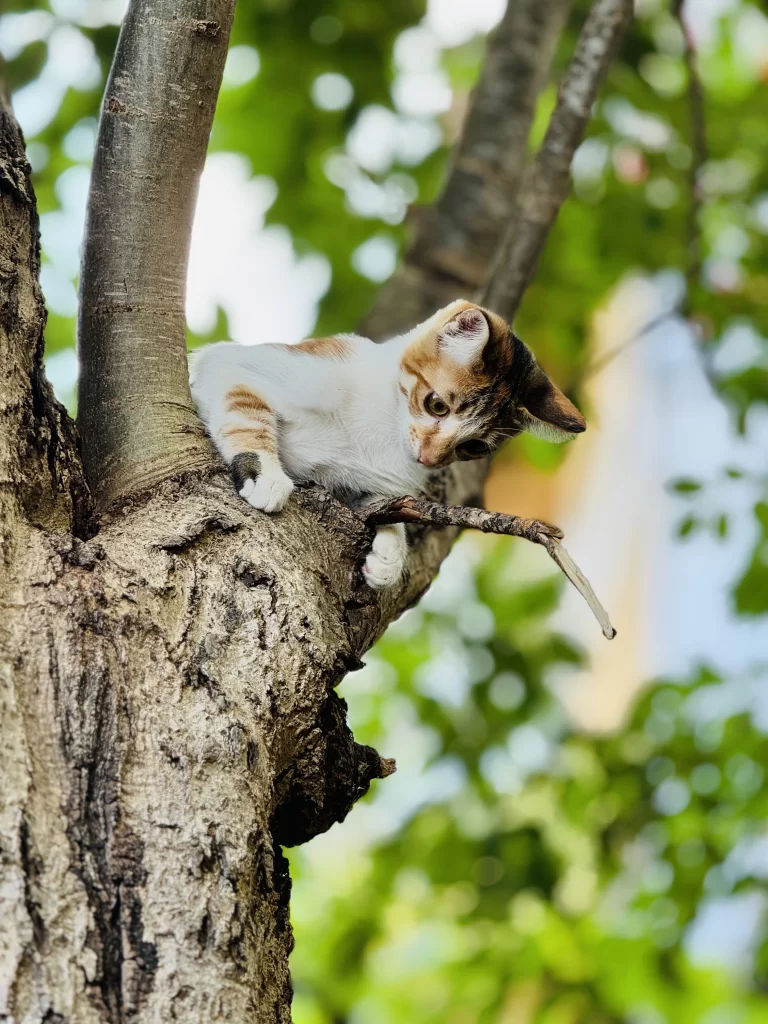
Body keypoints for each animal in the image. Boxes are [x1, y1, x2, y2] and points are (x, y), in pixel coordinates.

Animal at [189, 296, 585, 589]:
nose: (429, 458)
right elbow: (245, 410)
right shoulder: (229, 361)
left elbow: (384, 508)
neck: (383, 427)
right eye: (436, 405)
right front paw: (265, 475)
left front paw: (390, 556)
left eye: (474, 447)